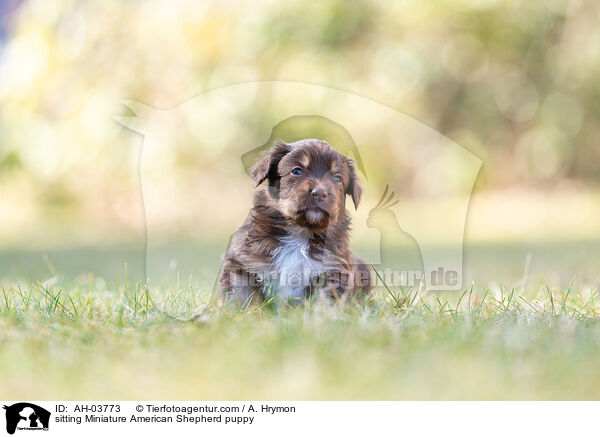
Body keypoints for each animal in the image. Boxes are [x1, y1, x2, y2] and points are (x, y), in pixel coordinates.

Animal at [218, 138, 372, 304]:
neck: (300, 233)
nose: (320, 193)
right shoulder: (243, 262)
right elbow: (239, 296)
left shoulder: (333, 271)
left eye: (337, 178)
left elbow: (325, 302)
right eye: (297, 171)